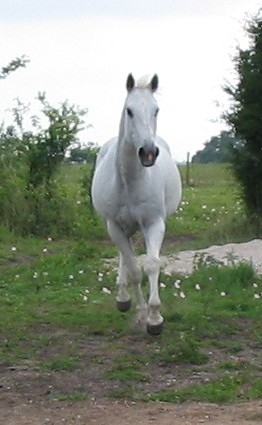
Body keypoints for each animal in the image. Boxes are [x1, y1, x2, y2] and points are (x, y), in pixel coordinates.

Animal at [92, 73, 182, 334]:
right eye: (129, 111)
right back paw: (123, 298)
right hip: (119, 227)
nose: (148, 152)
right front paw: (142, 313)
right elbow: (133, 270)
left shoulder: (154, 223)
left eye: (156, 110)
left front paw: (155, 319)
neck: (129, 181)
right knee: (126, 256)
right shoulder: (113, 225)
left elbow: (151, 264)